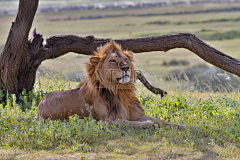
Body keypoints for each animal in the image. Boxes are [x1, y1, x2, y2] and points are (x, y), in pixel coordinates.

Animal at [38, 40, 186, 129]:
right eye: (113, 61)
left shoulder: (135, 113)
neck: (120, 91)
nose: (126, 68)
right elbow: (136, 124)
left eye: (126, 59)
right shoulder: (109, 121)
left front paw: (182, 126)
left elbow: (160, 120)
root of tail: (41, 103)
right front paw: (148, 124)